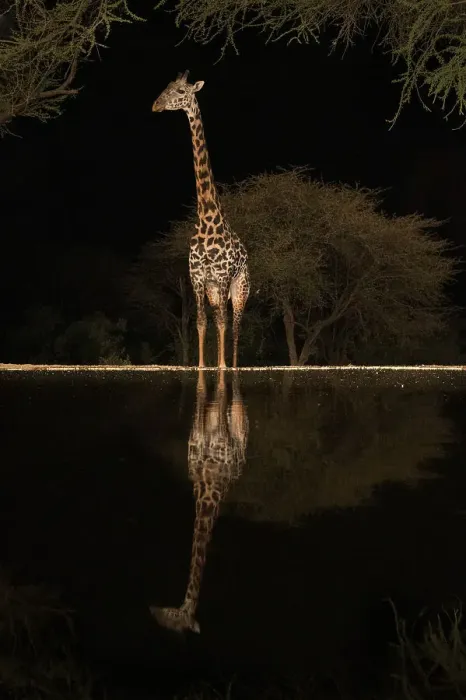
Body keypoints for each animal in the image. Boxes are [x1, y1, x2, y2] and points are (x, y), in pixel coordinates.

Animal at [152, 71, 250, 369]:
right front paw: (203, 365)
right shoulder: (197, 278)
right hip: (214, 290)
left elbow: (224, 322)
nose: (156, 105)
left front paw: (222, 367)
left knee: (236, 324)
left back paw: (233, 364)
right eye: (167, 87)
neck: (206, 217)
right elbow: (202, 321)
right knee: (220, 319)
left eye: (181, 91)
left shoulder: (223, 276)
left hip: (240, 287)